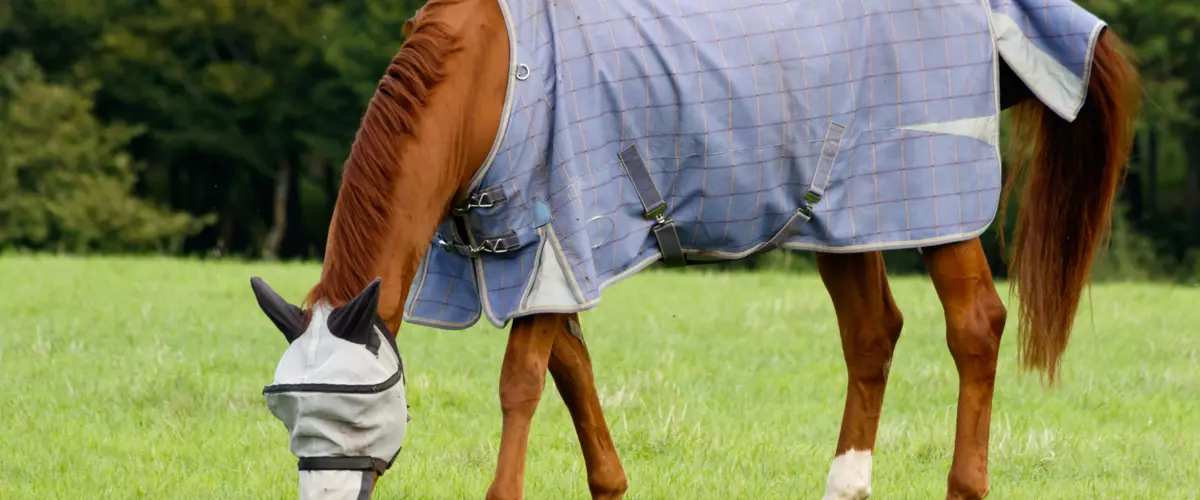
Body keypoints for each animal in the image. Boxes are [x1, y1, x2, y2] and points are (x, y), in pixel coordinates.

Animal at [249, 0, 1140, 498]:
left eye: (359, 412)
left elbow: (523, 384)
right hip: (843, 215)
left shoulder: (556, 241)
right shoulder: (543, 260)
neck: (493, 76)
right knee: (872, 333)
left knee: (976, 325)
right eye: (288, 416)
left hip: (931, 200)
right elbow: (574, 373)